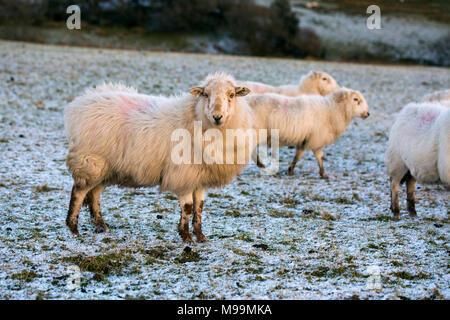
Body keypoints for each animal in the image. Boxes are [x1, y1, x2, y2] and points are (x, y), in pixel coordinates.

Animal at [63, 72, 253, 242]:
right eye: (205, 94)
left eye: (231, 95)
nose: (217, 117)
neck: (193, 116)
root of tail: (82, 101)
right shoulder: (183, 175)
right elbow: (188, 207)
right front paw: (186, 237)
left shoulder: (199, 177)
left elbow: (199, 207)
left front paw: (200, 237)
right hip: (90, 161)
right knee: (79, 192)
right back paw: (73, 228)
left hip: (106, 166)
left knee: (95, 193)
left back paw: (100, 225)